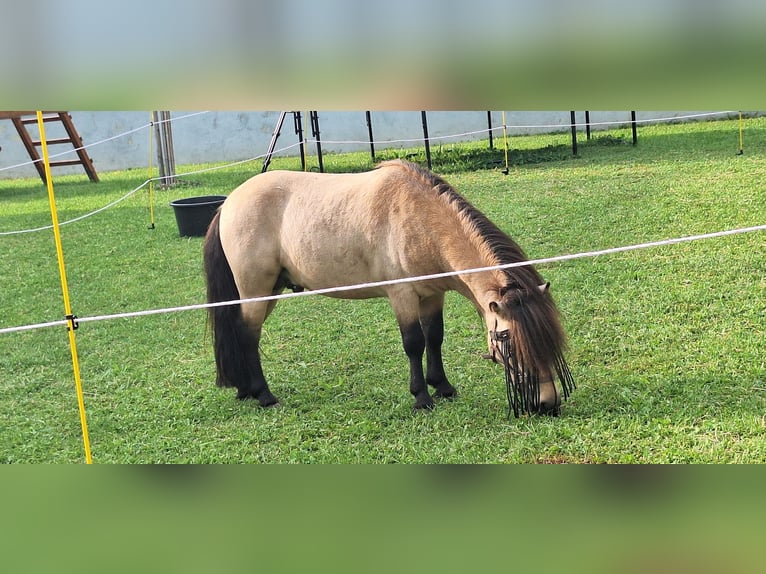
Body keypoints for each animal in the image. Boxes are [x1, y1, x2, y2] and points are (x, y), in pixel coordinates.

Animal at [206, 161, 576, 418]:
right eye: (505, 338)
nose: (547, 404)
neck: (420, 220)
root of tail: (229, 202)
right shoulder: (403, 297)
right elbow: (414, 343)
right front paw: (421, 398)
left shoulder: (433, 295)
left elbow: (435, 338)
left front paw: (442, 387)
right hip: (257, 291)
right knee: (249, 335)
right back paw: (263, 394)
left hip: (271, 290)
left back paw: (245, 389)